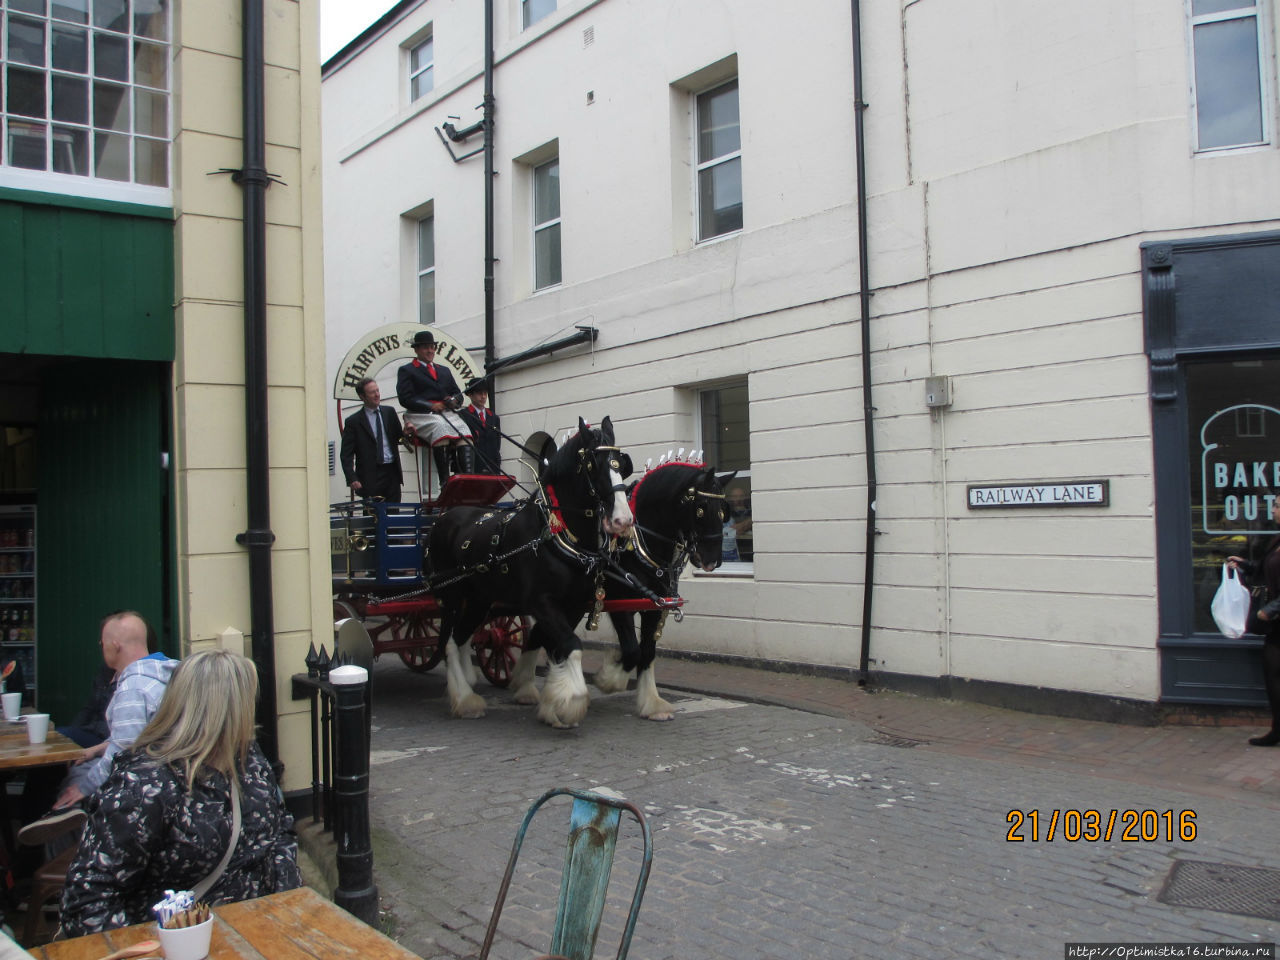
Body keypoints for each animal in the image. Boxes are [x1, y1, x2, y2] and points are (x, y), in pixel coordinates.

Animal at [427, 417, 632, 727]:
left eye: (620, 463)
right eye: (593, 464)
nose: (623, 520)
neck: (555, 534)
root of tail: (443, 517)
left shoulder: (574, 605)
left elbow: (558, 647)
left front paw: (552, 703)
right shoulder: (540, 602)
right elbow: (571, 645)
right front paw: (571, 702)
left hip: (479, 600)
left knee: (462, 638)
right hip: (451, 596)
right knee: (450, 642)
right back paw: (464, 699)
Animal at [591, 463, 737, 721]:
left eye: (723, 511)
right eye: (700, 509)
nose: (712, 561)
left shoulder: (654, 606)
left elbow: (647, 652)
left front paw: (652, 704)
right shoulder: (617, 603)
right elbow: (632, 650)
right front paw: (608, 678)